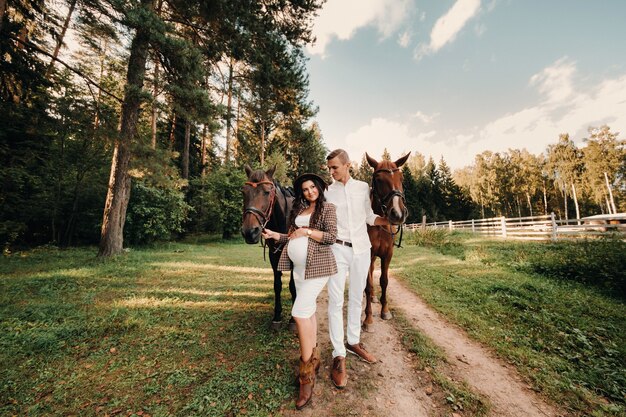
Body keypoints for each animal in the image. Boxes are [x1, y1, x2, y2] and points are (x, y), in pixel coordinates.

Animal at [241, 164, 294, 330]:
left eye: (266, 192)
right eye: (243, 192)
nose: (249, 232)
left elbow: (292, 285)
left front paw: (292, 319)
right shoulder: (273, 255)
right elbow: (277, 285)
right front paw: (277, 316)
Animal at [360, 151, 410, 330]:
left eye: (401, 178)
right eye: (379, 180)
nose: (397, 213)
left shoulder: (388, 255)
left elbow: (384, 281)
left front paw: (385, 310)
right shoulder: (368, 255)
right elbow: (368, 285)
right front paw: (368, 318)